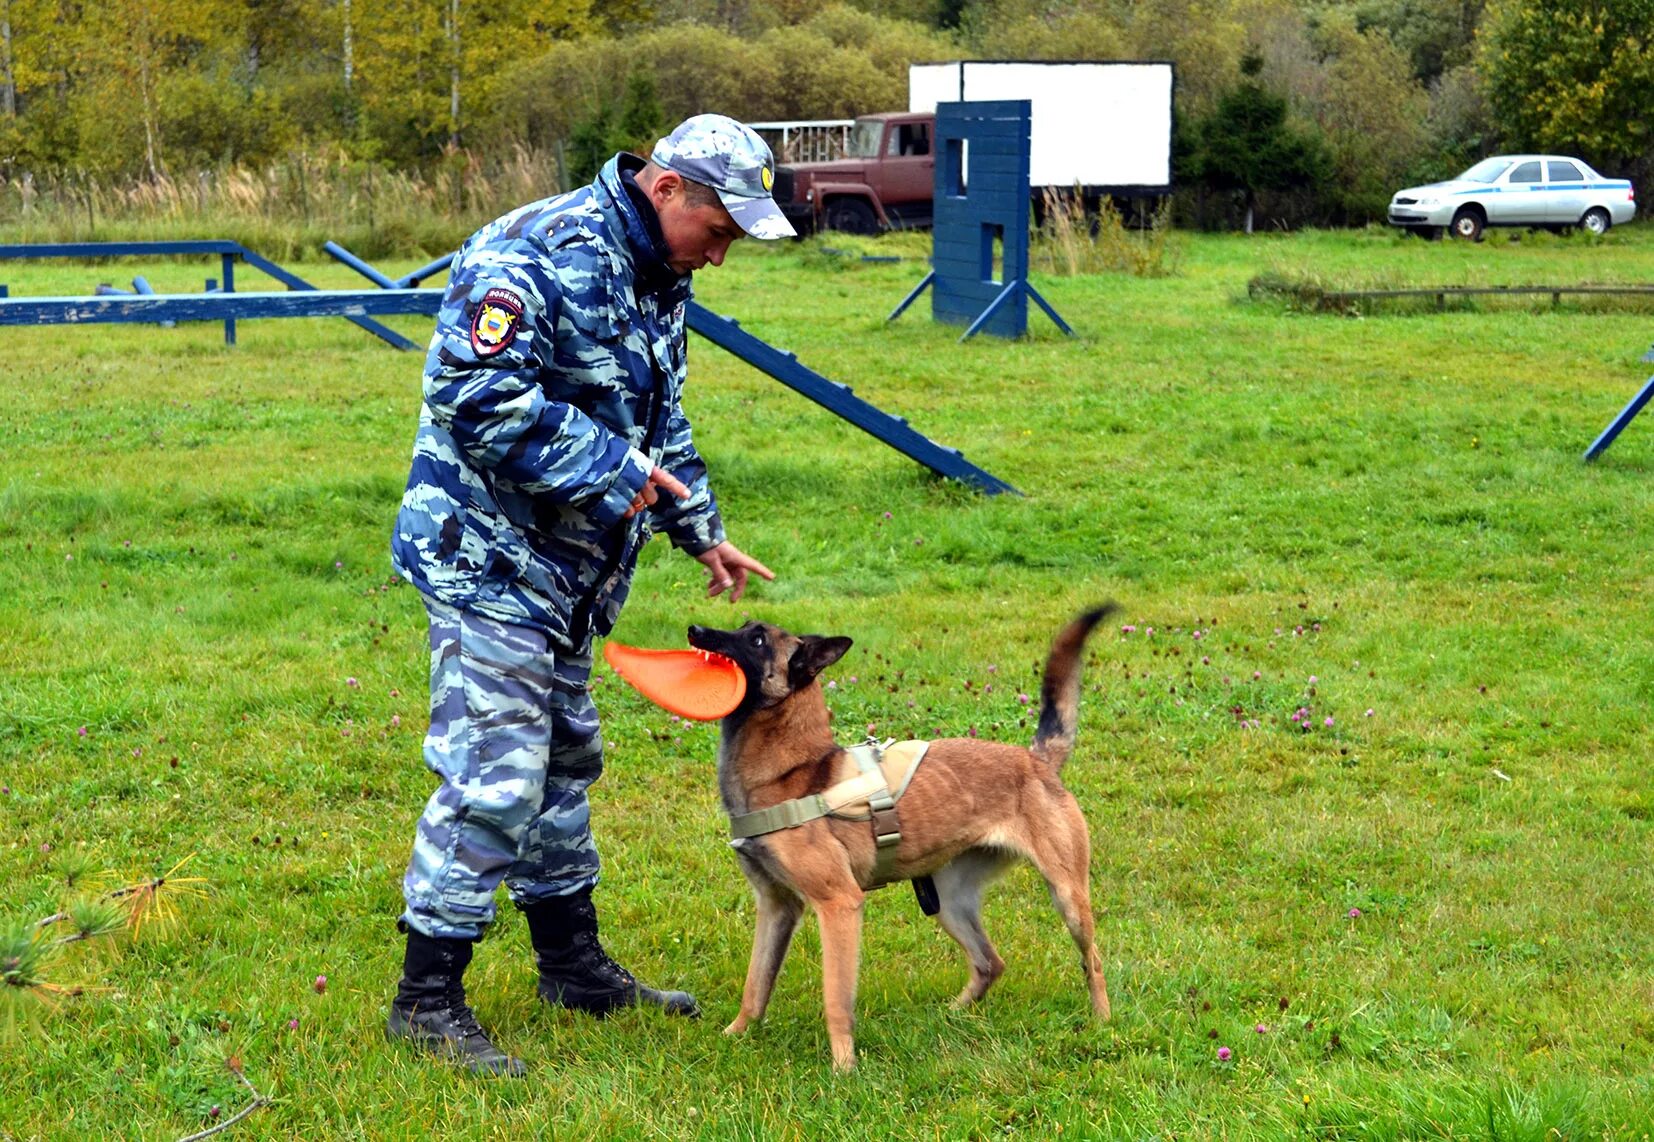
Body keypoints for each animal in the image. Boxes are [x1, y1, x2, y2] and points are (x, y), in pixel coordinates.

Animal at [684, 605, 1124, 1065]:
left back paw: (1102, 1023)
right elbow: (756, 985)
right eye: (741, 626)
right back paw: (950, 1015)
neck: (792, 773)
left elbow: (835, 998)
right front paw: (733, 1036)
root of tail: (1035, 759)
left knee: (1091, 961)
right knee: (990, 962)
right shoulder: (776, 907)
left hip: (1067, 897)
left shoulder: (839, 904)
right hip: (950, 902)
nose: (694, 630)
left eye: (756, 640)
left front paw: (844, 1066)